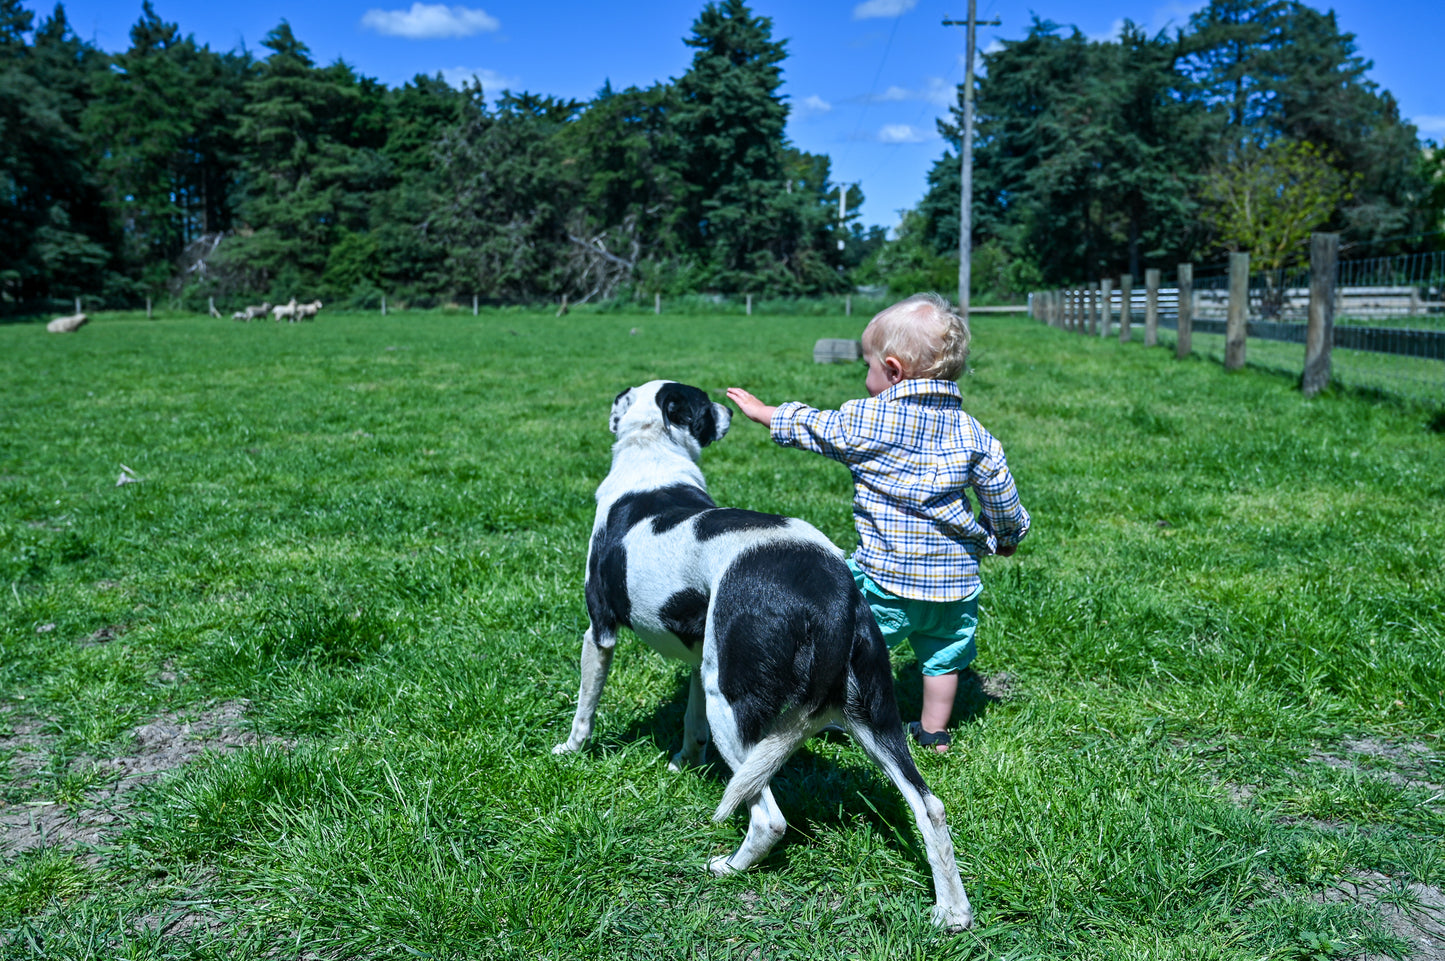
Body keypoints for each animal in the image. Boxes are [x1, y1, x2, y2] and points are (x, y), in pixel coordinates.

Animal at [551, 378, 971, 924]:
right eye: (706, 405)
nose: (729, 410)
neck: (653, 452)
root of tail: (833, 592)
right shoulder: (698, 661)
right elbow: (690, 725)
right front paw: (683, 763)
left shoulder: (600, 631)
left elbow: (585, 706)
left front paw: (571, 750)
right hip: (872, 717)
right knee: (930, 806)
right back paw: (953, 913)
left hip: (732, 705)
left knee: (769, 818)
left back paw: (728, 867)